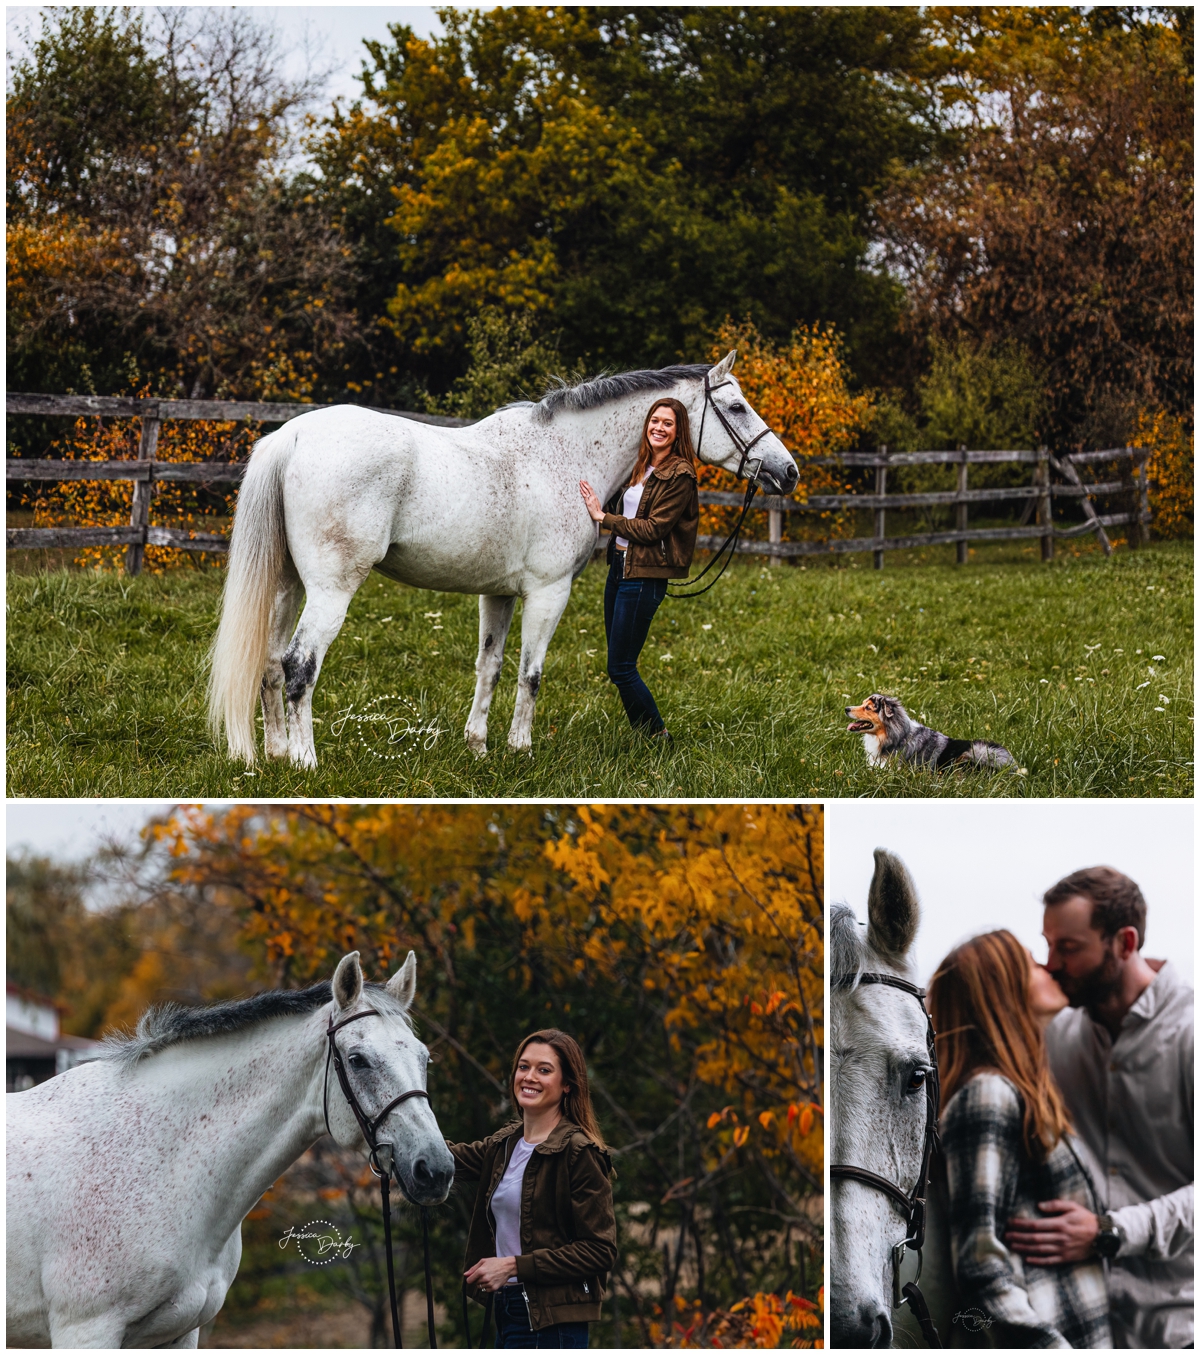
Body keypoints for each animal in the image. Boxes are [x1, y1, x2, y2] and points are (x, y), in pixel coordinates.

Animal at [7, 953, 455, 1344]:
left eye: (425, 1058)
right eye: (358, 1059)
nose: (436, 1170)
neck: (163, 1167)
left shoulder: (178, 1333)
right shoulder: (86, 1330)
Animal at [211, 344, 801, 769]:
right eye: (736, 407)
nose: (788, 471)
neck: (562, 455)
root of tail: (290, 438)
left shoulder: (496, 594)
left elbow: (489, 667)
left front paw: (477, 745)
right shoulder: (548, 591)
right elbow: (530, 673)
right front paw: (521, 748)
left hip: (287, 584)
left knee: (270, 663)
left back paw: (277, 753)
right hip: (331, 591)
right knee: (298, 666)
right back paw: (306, 762)